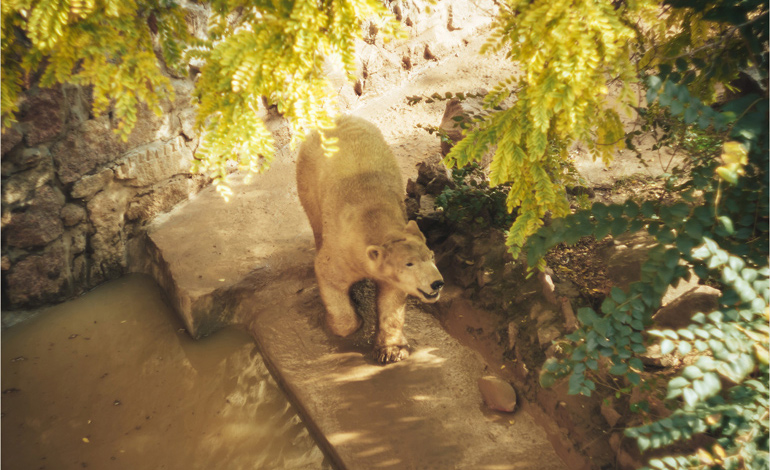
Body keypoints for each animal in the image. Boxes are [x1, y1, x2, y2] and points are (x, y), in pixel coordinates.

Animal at [296, 115, 444, 364]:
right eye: (409, 263)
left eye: (431, 256)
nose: (437, 283)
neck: (372, 219)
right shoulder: (341, 253)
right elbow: (328, 276)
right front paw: (348, 322)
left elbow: (390, 298)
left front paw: (391, 350)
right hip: (307, 177)